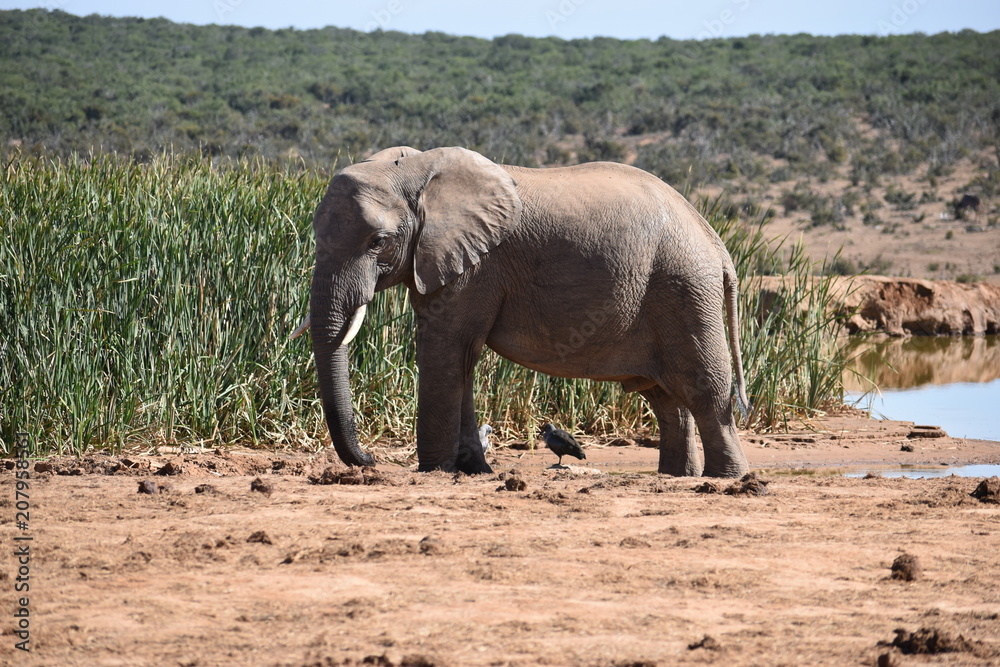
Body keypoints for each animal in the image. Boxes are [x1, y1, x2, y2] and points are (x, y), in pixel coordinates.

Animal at [298, 145, 752, 480]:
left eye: (378, 241)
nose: (370, 461)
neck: (413, 168)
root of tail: (716, 242)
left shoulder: (476, 264)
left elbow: (445, 346)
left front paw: (433, 471)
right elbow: (462, 358)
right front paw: (474, 471)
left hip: (685, 287)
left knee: (704, 389)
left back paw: (726, 479)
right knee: (665, 398)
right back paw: (677, 477)